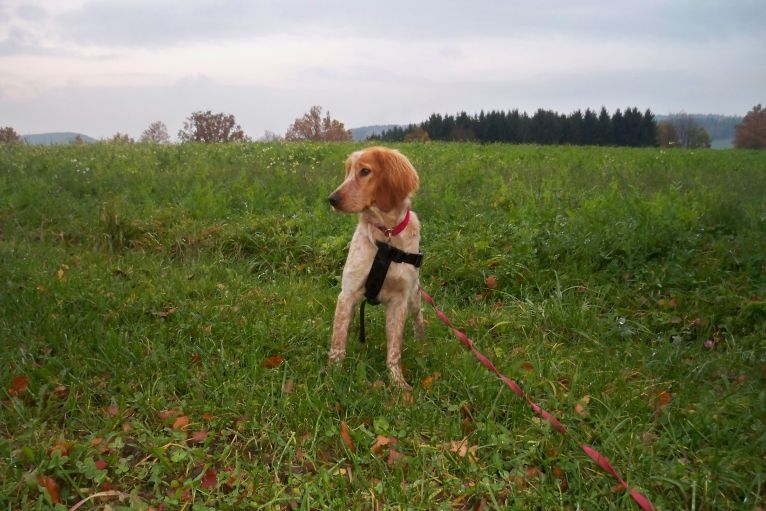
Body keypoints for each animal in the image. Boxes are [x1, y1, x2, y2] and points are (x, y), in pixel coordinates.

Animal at [327, 147, 425, 389]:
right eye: (348, 171)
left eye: (365, 171)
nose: (332, 199)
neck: (386, 237)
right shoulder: (348, 294)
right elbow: (338, 341)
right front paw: (333, 377)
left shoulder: (399, 301)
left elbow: (394, 351)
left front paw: (398, 384)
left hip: (415, 297)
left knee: (419, 317)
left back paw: (422, 343)